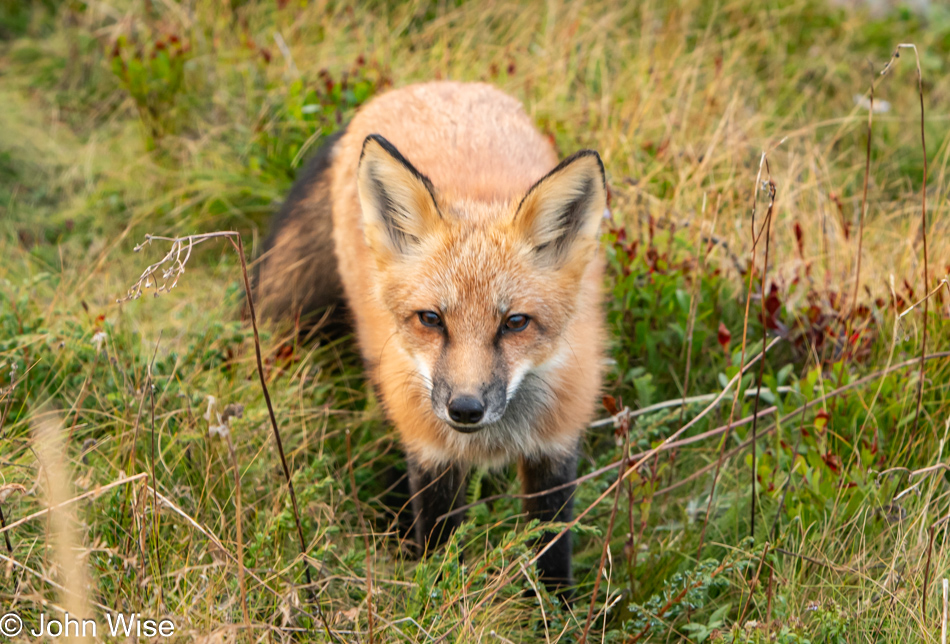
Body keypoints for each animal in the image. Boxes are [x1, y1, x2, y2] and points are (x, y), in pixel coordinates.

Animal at [255, 83, 608, 596]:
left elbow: (552, 557)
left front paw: (553, 610)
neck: (490, 443)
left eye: (515, 323)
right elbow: (440, 553)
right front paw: (434, 596)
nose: (465, 408)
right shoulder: (432, 454)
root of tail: (421, 86)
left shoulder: (555, 450)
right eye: (431, 319)